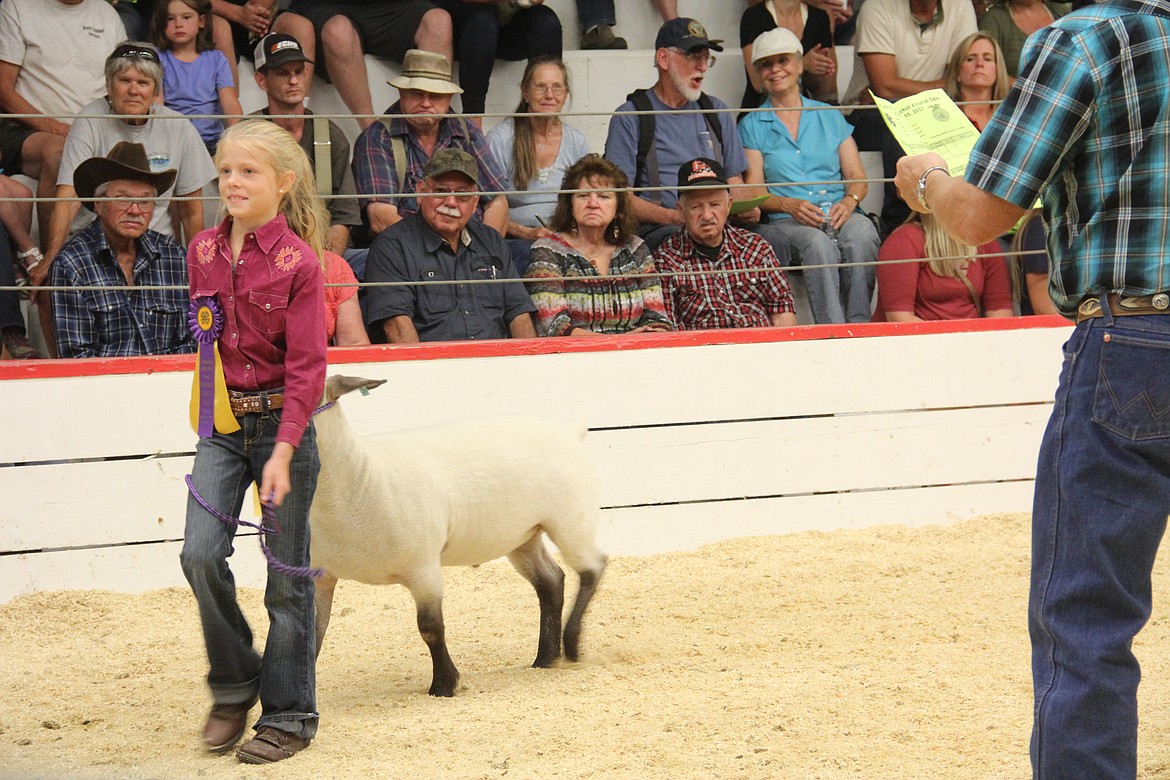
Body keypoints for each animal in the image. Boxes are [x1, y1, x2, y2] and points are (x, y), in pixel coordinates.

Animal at [306, 374, 608, 696]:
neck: (358, 477)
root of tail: (570, 430)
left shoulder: (423, 569)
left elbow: (430, 628)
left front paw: (444, 684)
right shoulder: (318, 576)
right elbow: (313, 632)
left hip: (571, 518)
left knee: (592, 567)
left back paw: (571, 645)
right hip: (522, 535)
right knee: (550, 580)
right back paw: (545, 658)